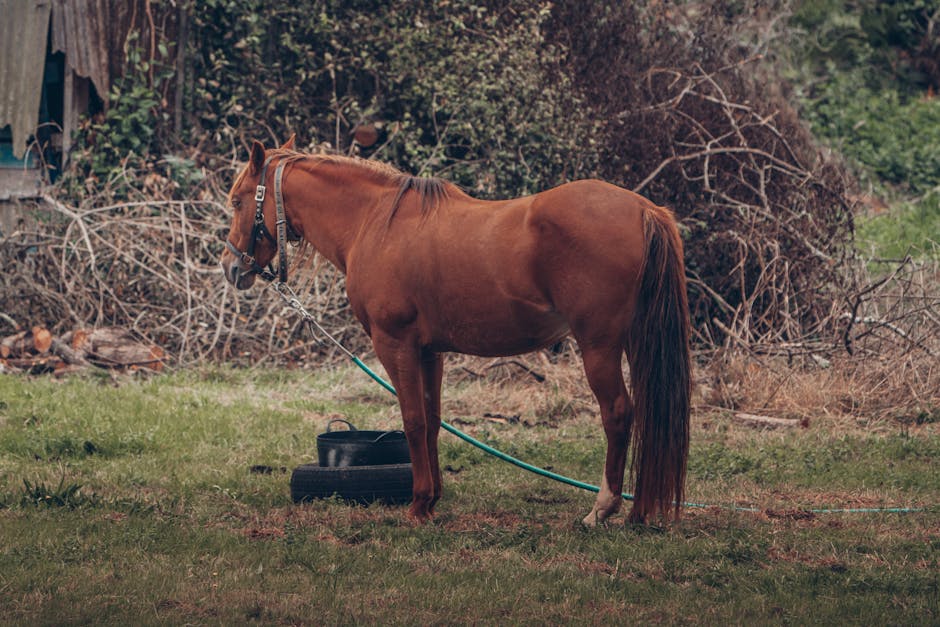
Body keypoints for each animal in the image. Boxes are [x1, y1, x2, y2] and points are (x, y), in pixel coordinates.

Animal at [220, 136, 692, 524]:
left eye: (238, 201)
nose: (231, 268)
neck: (376, 222)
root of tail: (644, 209)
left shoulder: (395, 344)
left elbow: (411, 420)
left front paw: (416, 506)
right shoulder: (430, 351)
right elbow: (432, 421)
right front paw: (431, 500)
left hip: (599, 346)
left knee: (618, 413)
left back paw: (603, 508)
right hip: (634, 343)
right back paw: (639, 510)